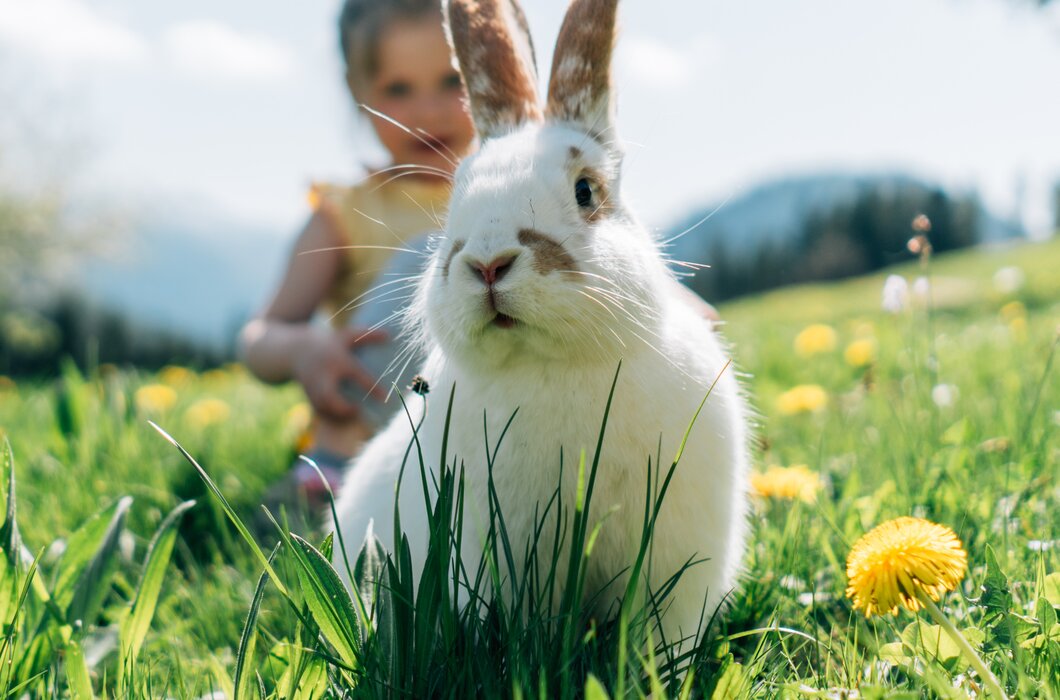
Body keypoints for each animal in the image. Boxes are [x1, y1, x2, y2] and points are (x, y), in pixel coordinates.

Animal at [332, 0, 751, 645]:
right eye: (455, 199)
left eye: (586, 191)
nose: (487, 264)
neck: (552, 365)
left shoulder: (679, 565)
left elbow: (664, 635)